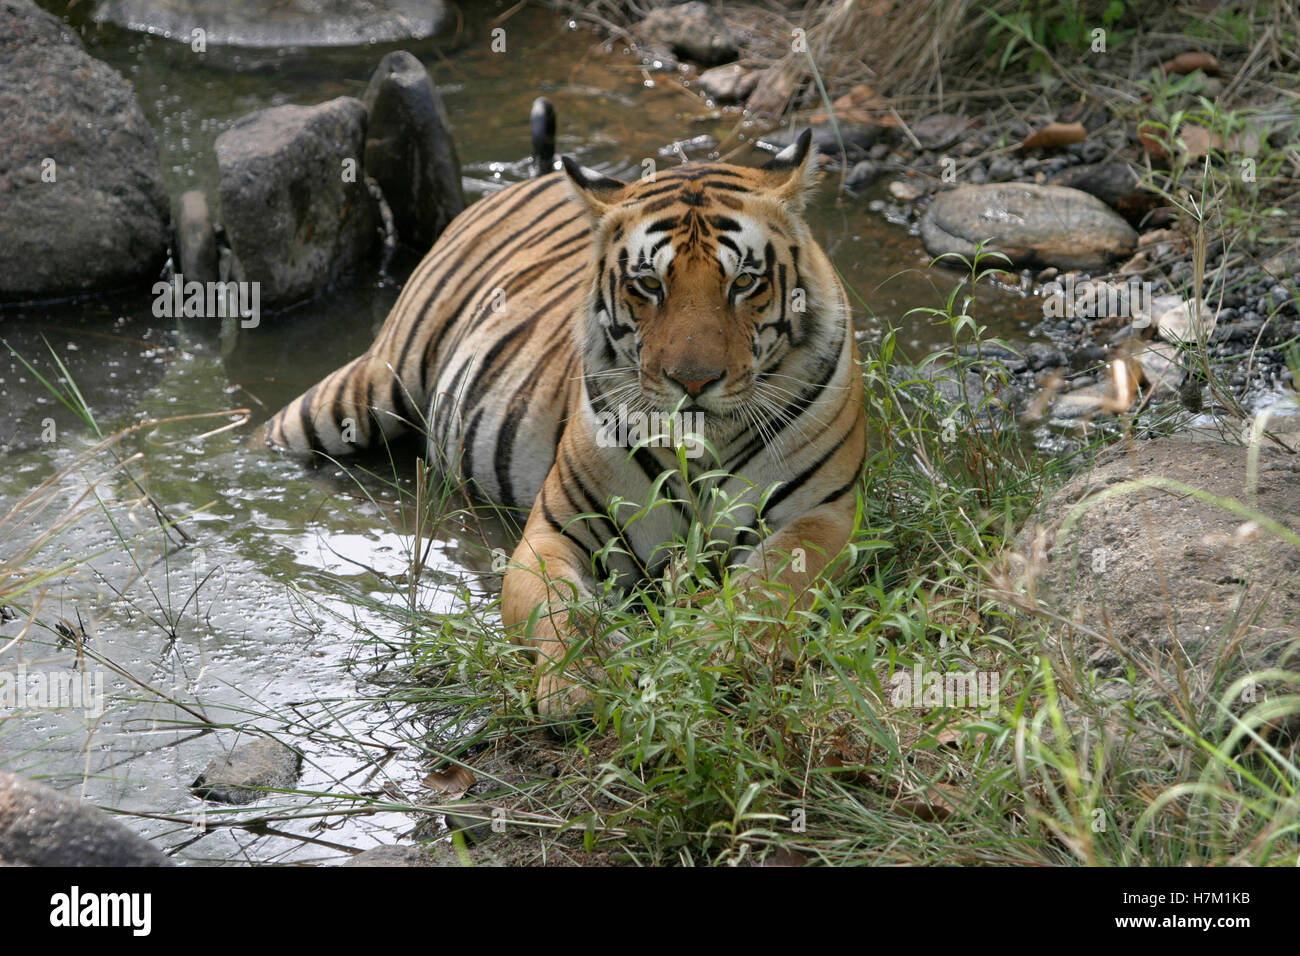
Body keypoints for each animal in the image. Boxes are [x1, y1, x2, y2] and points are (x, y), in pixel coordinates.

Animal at [266, 127, 863, 723]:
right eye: (649, 285)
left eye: (744, 282)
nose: (693, 381)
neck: (702, 449)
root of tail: (539, 177)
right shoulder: (555, 530)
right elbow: (559, 606)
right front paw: (585, 678)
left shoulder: (823, 514)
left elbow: (773, 584)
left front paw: (719, 649)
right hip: (361, 391)